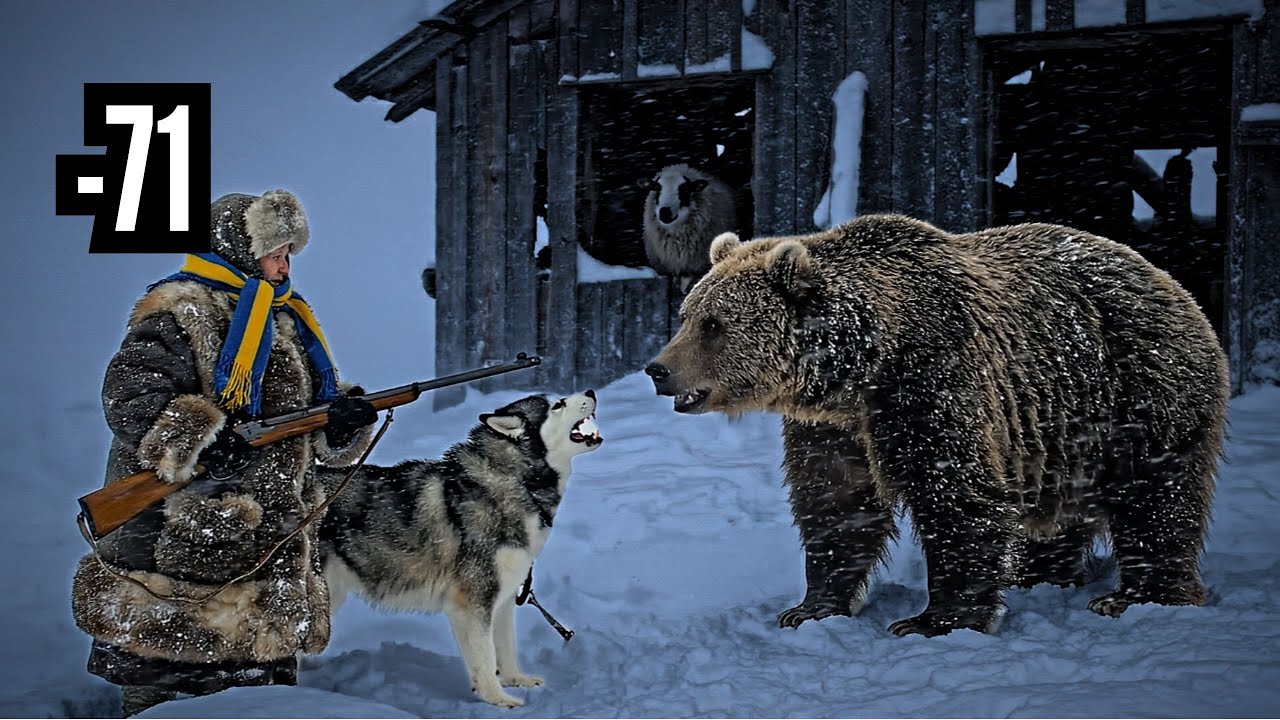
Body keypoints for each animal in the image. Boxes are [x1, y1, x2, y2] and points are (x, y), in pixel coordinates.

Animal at [645, 214, 1229, 638]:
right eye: (688, 314)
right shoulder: (835, 429)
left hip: (1136, 393)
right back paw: (1038, 574)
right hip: (1062, 429)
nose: (658, 369)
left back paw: (1135, 595)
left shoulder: (932, 382)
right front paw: (810, 606)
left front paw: (934, 620)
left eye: (714, 325)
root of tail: (1167, 279)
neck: (861, 368)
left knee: (1156, 496)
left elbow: (957, 497)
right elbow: (837, 505)